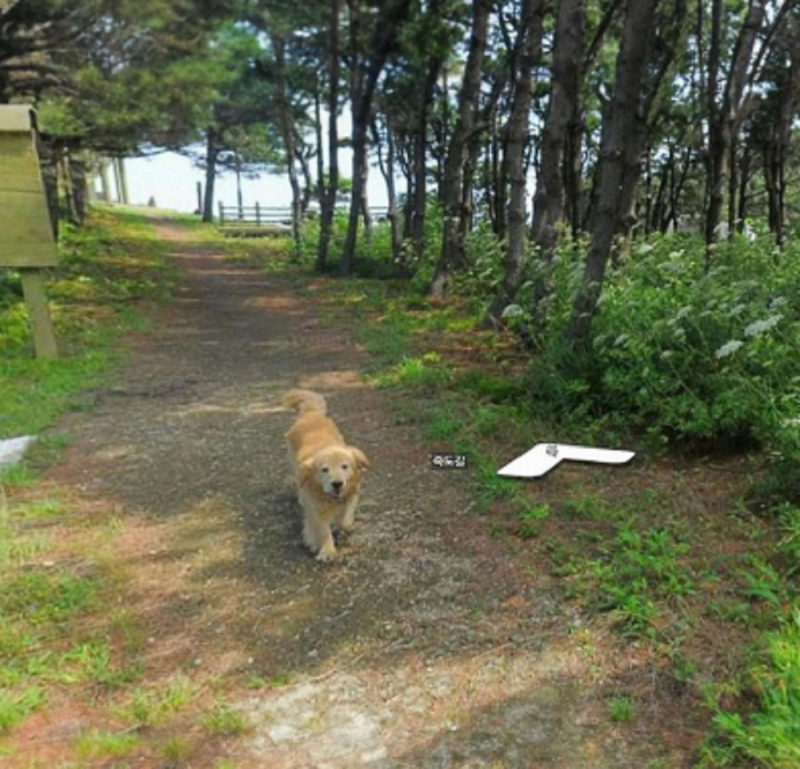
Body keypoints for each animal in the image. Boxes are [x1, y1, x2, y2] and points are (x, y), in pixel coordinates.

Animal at [282, 390, 370, 560]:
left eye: (345, 466)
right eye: (324, 469)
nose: (337, 484)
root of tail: (310, 413)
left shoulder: (352, 494)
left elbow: (344, 521)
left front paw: (343, 526)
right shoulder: (316, 508)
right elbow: (322, 530)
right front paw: (327, 550)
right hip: (293, 464)